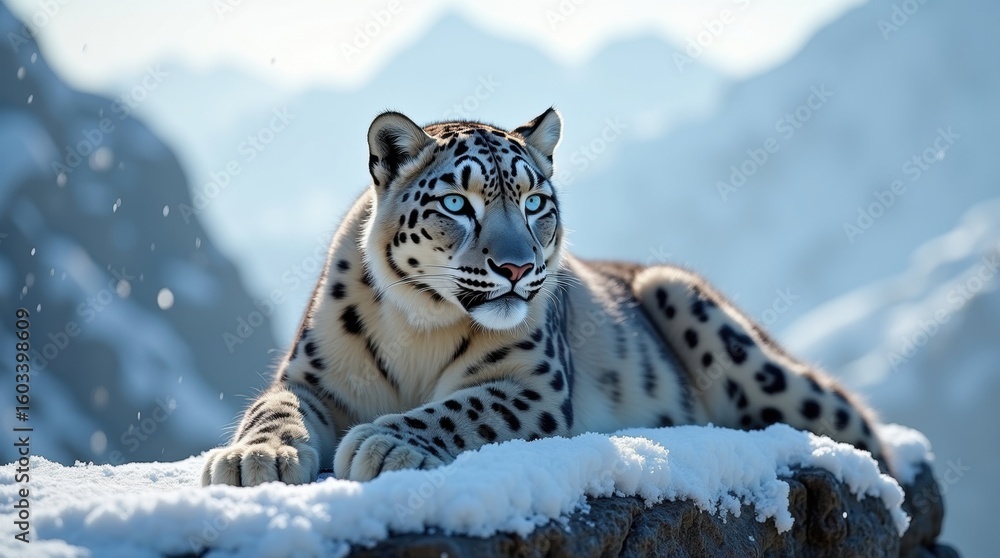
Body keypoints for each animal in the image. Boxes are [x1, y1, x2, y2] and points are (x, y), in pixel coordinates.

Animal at [201, 108, 883, 486]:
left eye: (535, 202)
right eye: (458, 202)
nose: (516, 266)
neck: (420, 328)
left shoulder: (534, 384)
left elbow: (460, 409)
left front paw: (384, 443)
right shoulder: (311, 377)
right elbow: (275, 409)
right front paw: (253, 460)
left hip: (698, 310)